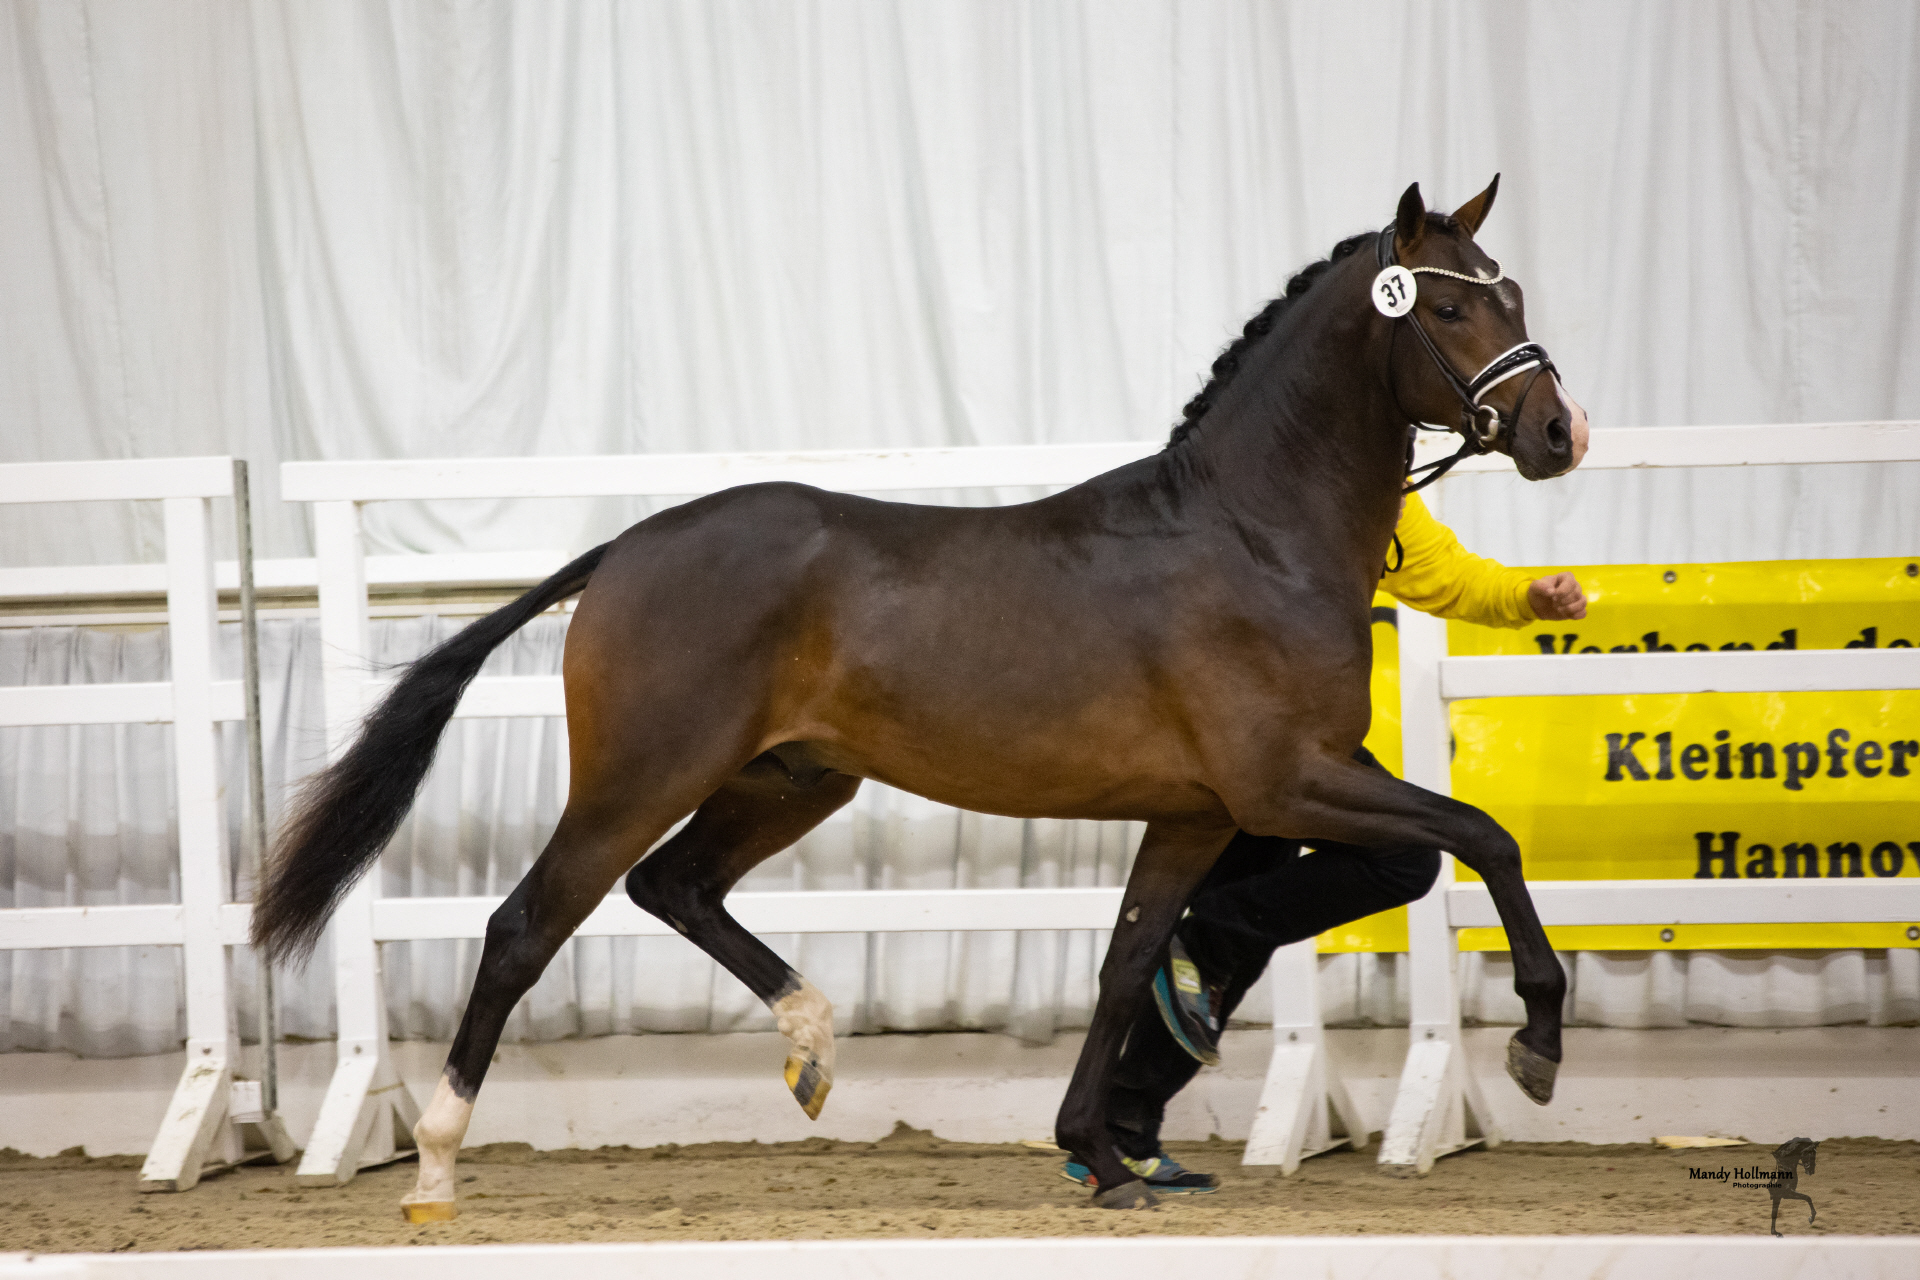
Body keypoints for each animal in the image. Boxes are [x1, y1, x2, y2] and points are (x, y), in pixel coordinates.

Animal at [253, 177, 1580, 1217]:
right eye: (1448, 305)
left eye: (1512, 293)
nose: (1557, 431)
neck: (1252, 534)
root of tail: (627, 547)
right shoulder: (1287, 781)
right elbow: (1485, 835)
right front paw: (1537, 1041)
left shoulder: (1196, 810)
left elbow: (1125, 956)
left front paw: (1100, 1154)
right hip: (642, 774)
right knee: (527, 922)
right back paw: (434, 1166)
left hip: (792, 779)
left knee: (672, 886)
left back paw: (811, 1048)